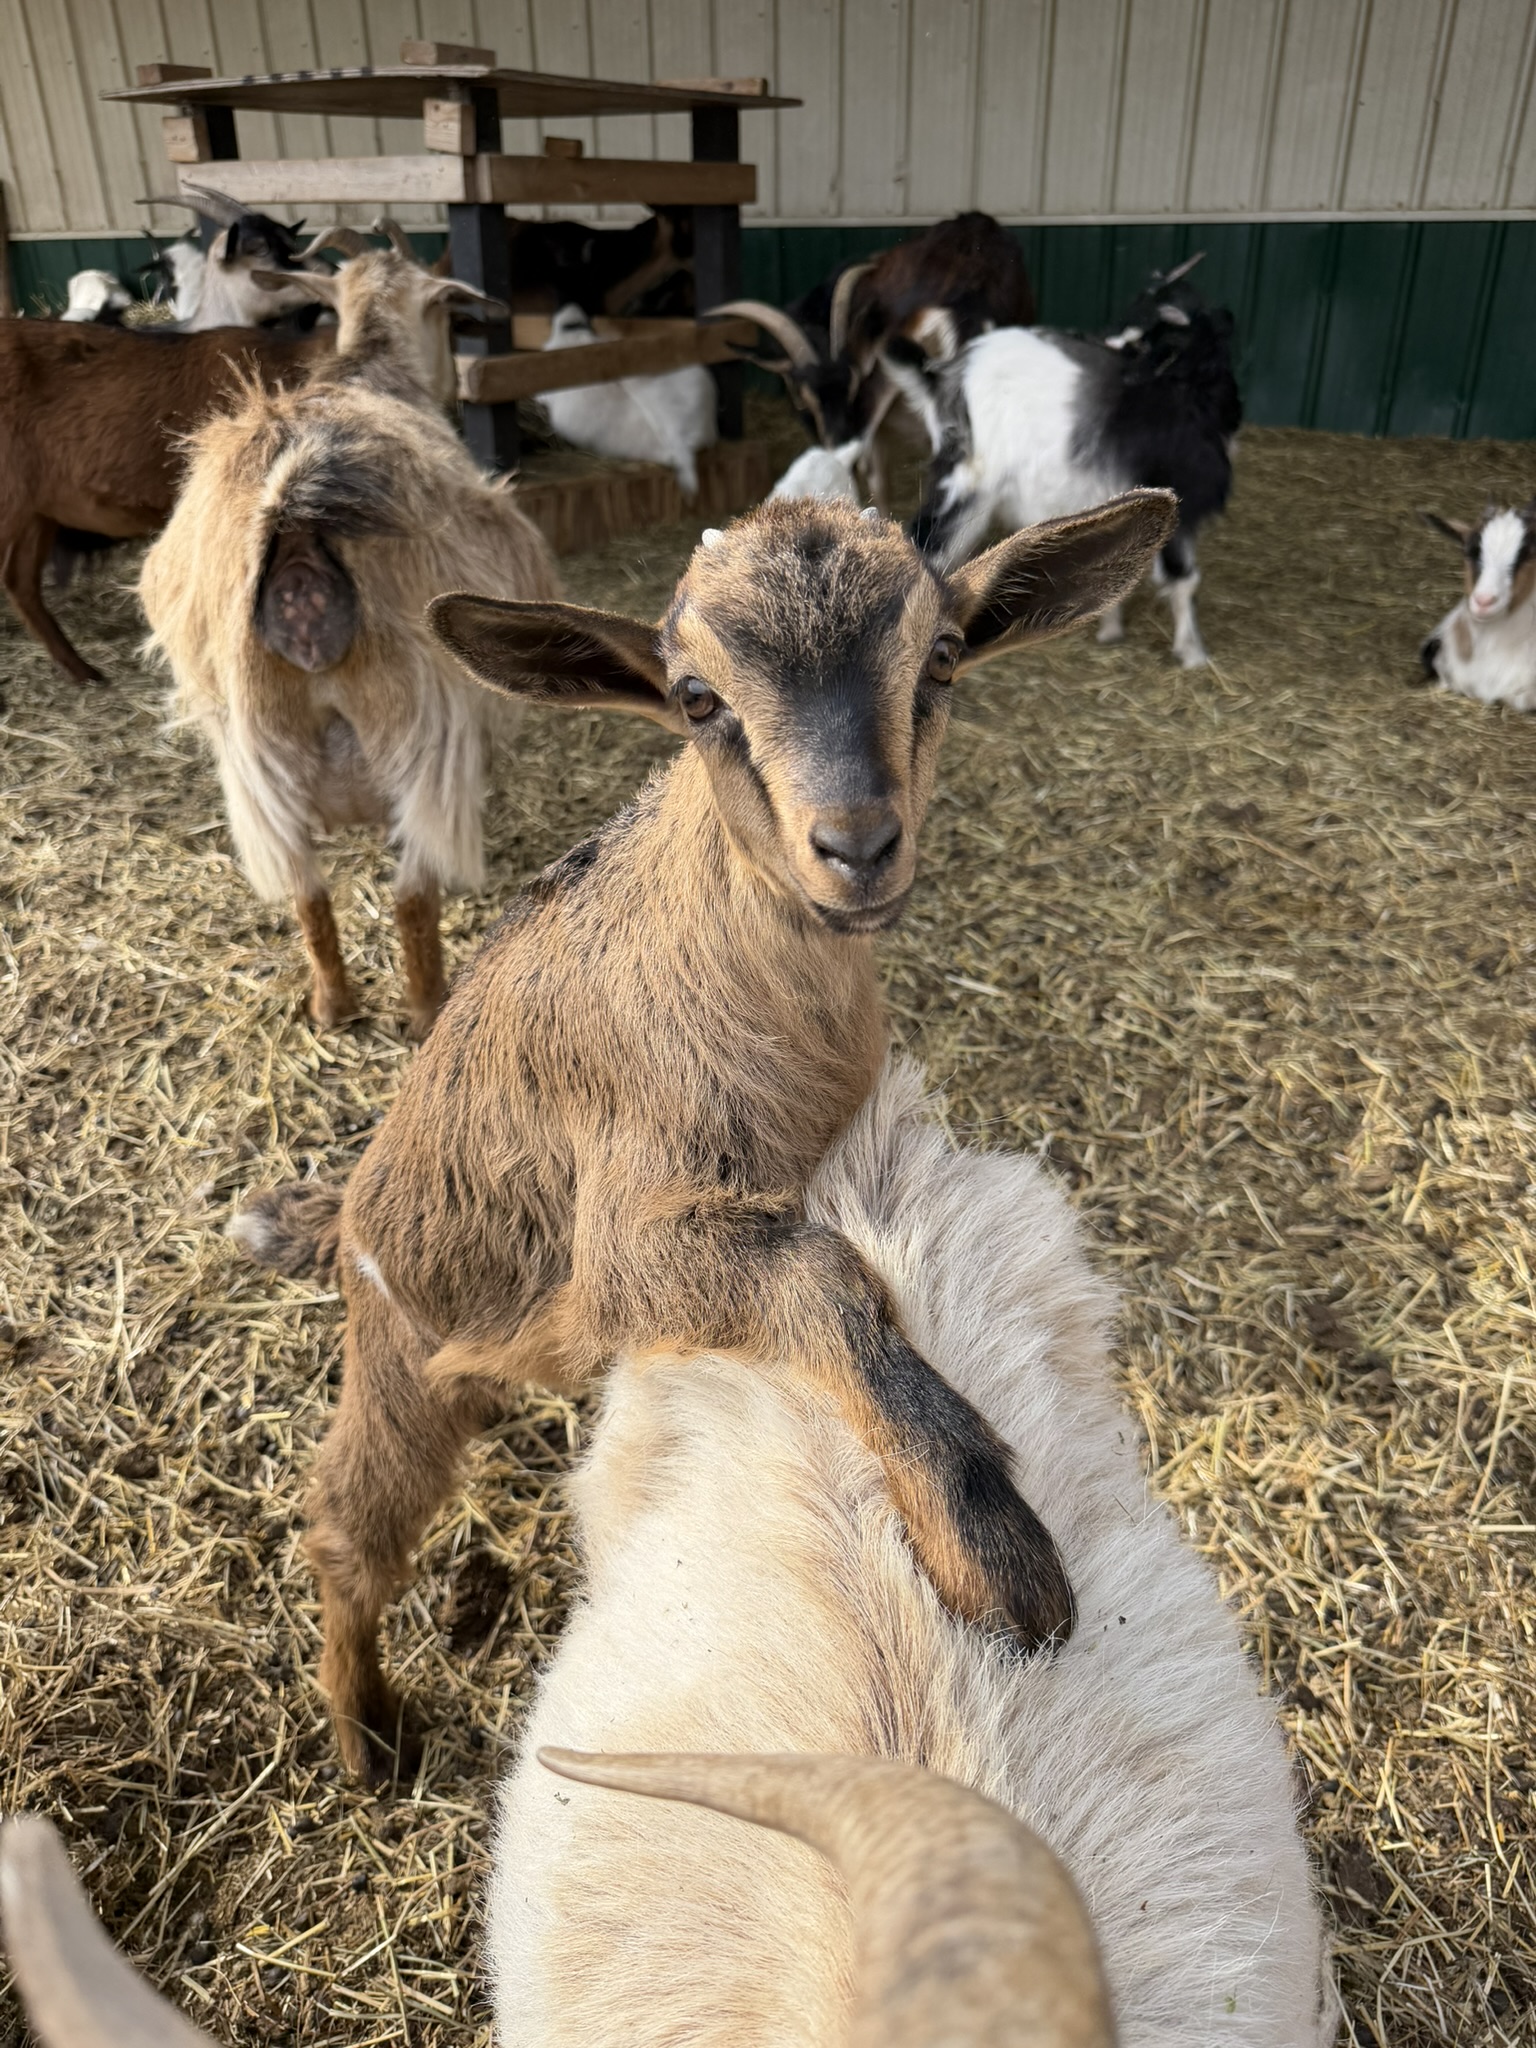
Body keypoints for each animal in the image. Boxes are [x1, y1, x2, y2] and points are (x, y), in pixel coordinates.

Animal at [139, 227, 557, 1039]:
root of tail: (296, 527)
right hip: (422, 732)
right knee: (411, 894)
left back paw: (332, 1005)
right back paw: (427, 1009)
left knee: (307, 892)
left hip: (254, 754)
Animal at [228, 488, 1176, 1781]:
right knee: (343, 1525)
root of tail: (352, 1203)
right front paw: (996, 1552)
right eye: (695, 698)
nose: (857, 843)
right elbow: (818, 1269)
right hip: (396, 1353)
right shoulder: (626, 1238)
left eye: (940, 657)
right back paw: (365, 1731)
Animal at [893, 255, 1241, 668]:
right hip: (967, 476)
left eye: (1146, 334)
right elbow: (1184, 580)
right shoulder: (1177, 490)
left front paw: (1111, 629)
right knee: (927, 542)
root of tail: (949, 376)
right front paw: (1192, 654)